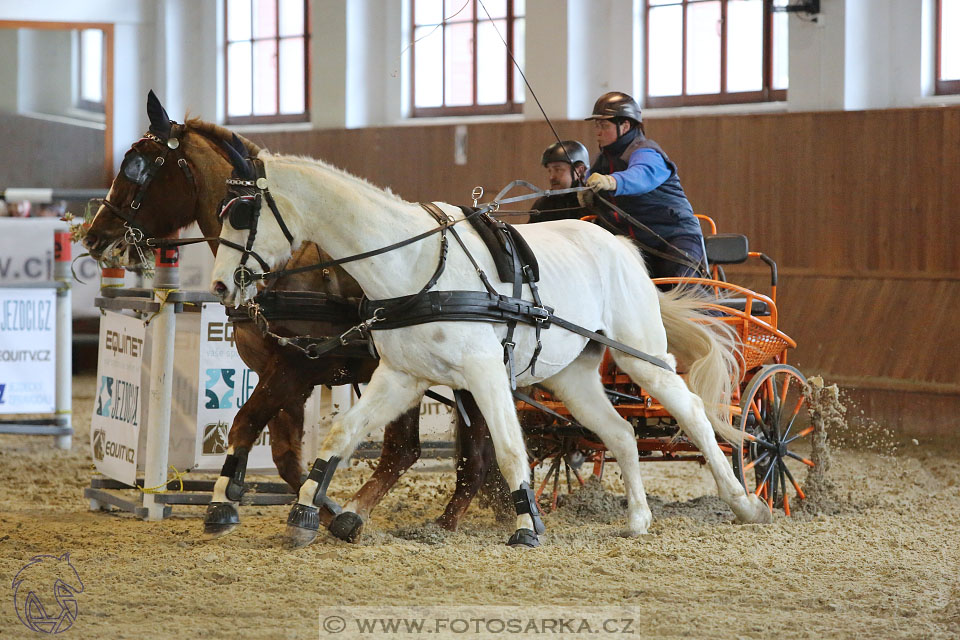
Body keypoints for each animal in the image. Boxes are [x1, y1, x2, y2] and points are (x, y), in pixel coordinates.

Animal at [83, 91, 506, 540]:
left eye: (139, 166)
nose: (94, 237)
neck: (279, 266)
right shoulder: (282, 375)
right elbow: (284, 456)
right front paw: (312, 506)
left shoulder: (294, 368)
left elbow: (245, 425)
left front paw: (227, 506)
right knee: (424, 452)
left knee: (436, 452)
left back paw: (436, 521)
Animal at [212, 150, 772, 544]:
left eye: (242, 213)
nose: (219, 286)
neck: (414, 265)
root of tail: (620, 243)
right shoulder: (400, 375)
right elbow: (340, 435)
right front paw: (305, 513)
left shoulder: (484, 372)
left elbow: (506, 449)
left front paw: (527, 527)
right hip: (572, 376)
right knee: (620, 433)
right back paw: (637, 518)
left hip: (641, 356)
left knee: (694, 413)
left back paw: (746, 504)